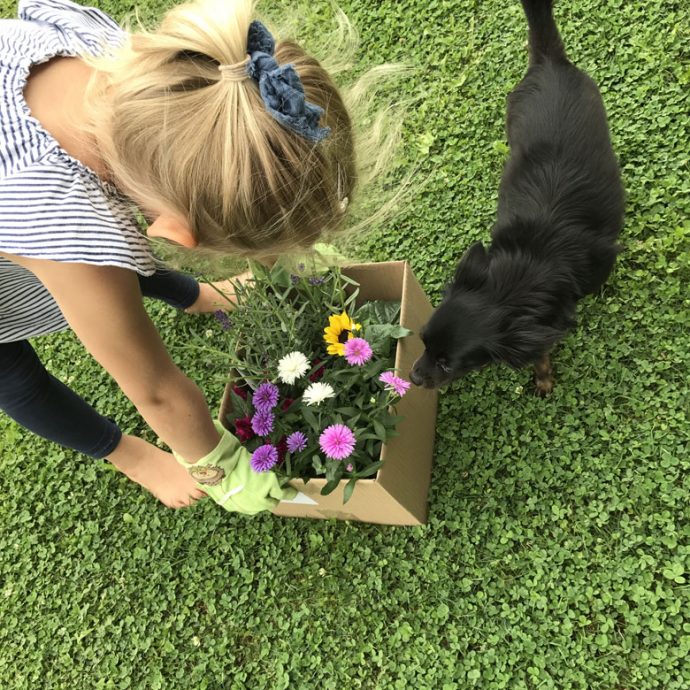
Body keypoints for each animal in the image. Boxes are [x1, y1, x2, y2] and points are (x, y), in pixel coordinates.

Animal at [408, 0, 624, 392]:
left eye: (447, 364)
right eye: (423, 342)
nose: (413, 377)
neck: (529, 264)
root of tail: (548, 62)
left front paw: (543, 376)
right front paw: (543, 375)